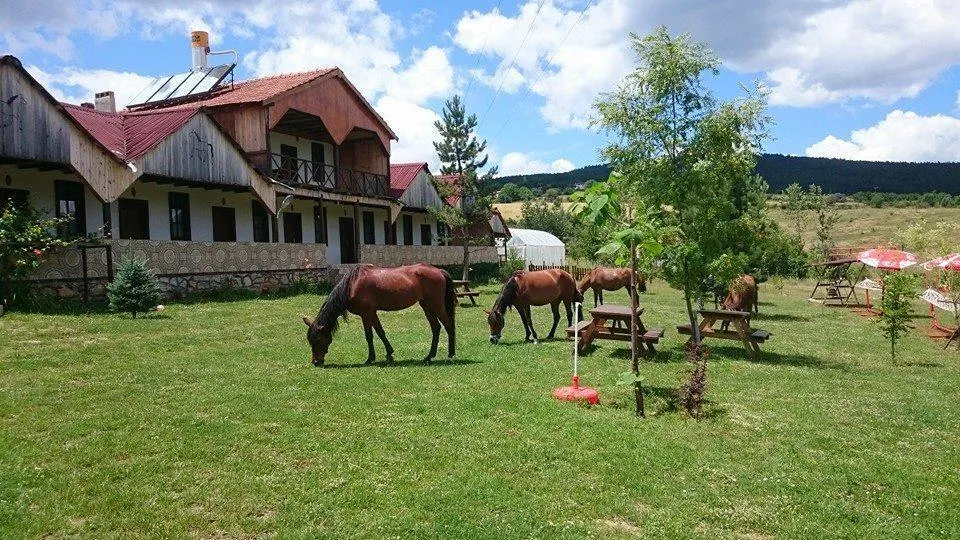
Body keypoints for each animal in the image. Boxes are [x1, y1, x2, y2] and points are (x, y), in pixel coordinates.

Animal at [302, 262, 456, 364]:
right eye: (310, 340)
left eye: (318, 339)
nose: (316, 362)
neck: (352, 286)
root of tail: (439, 271)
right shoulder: (372, 313)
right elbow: (381, 332)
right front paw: (389, 354)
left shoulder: (366, 314)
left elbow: (369, 335)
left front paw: (370, 359)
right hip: (426, 305)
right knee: (436, 327)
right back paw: (429, 356)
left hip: (436, 305)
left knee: (448, 325)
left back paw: (451, 354)